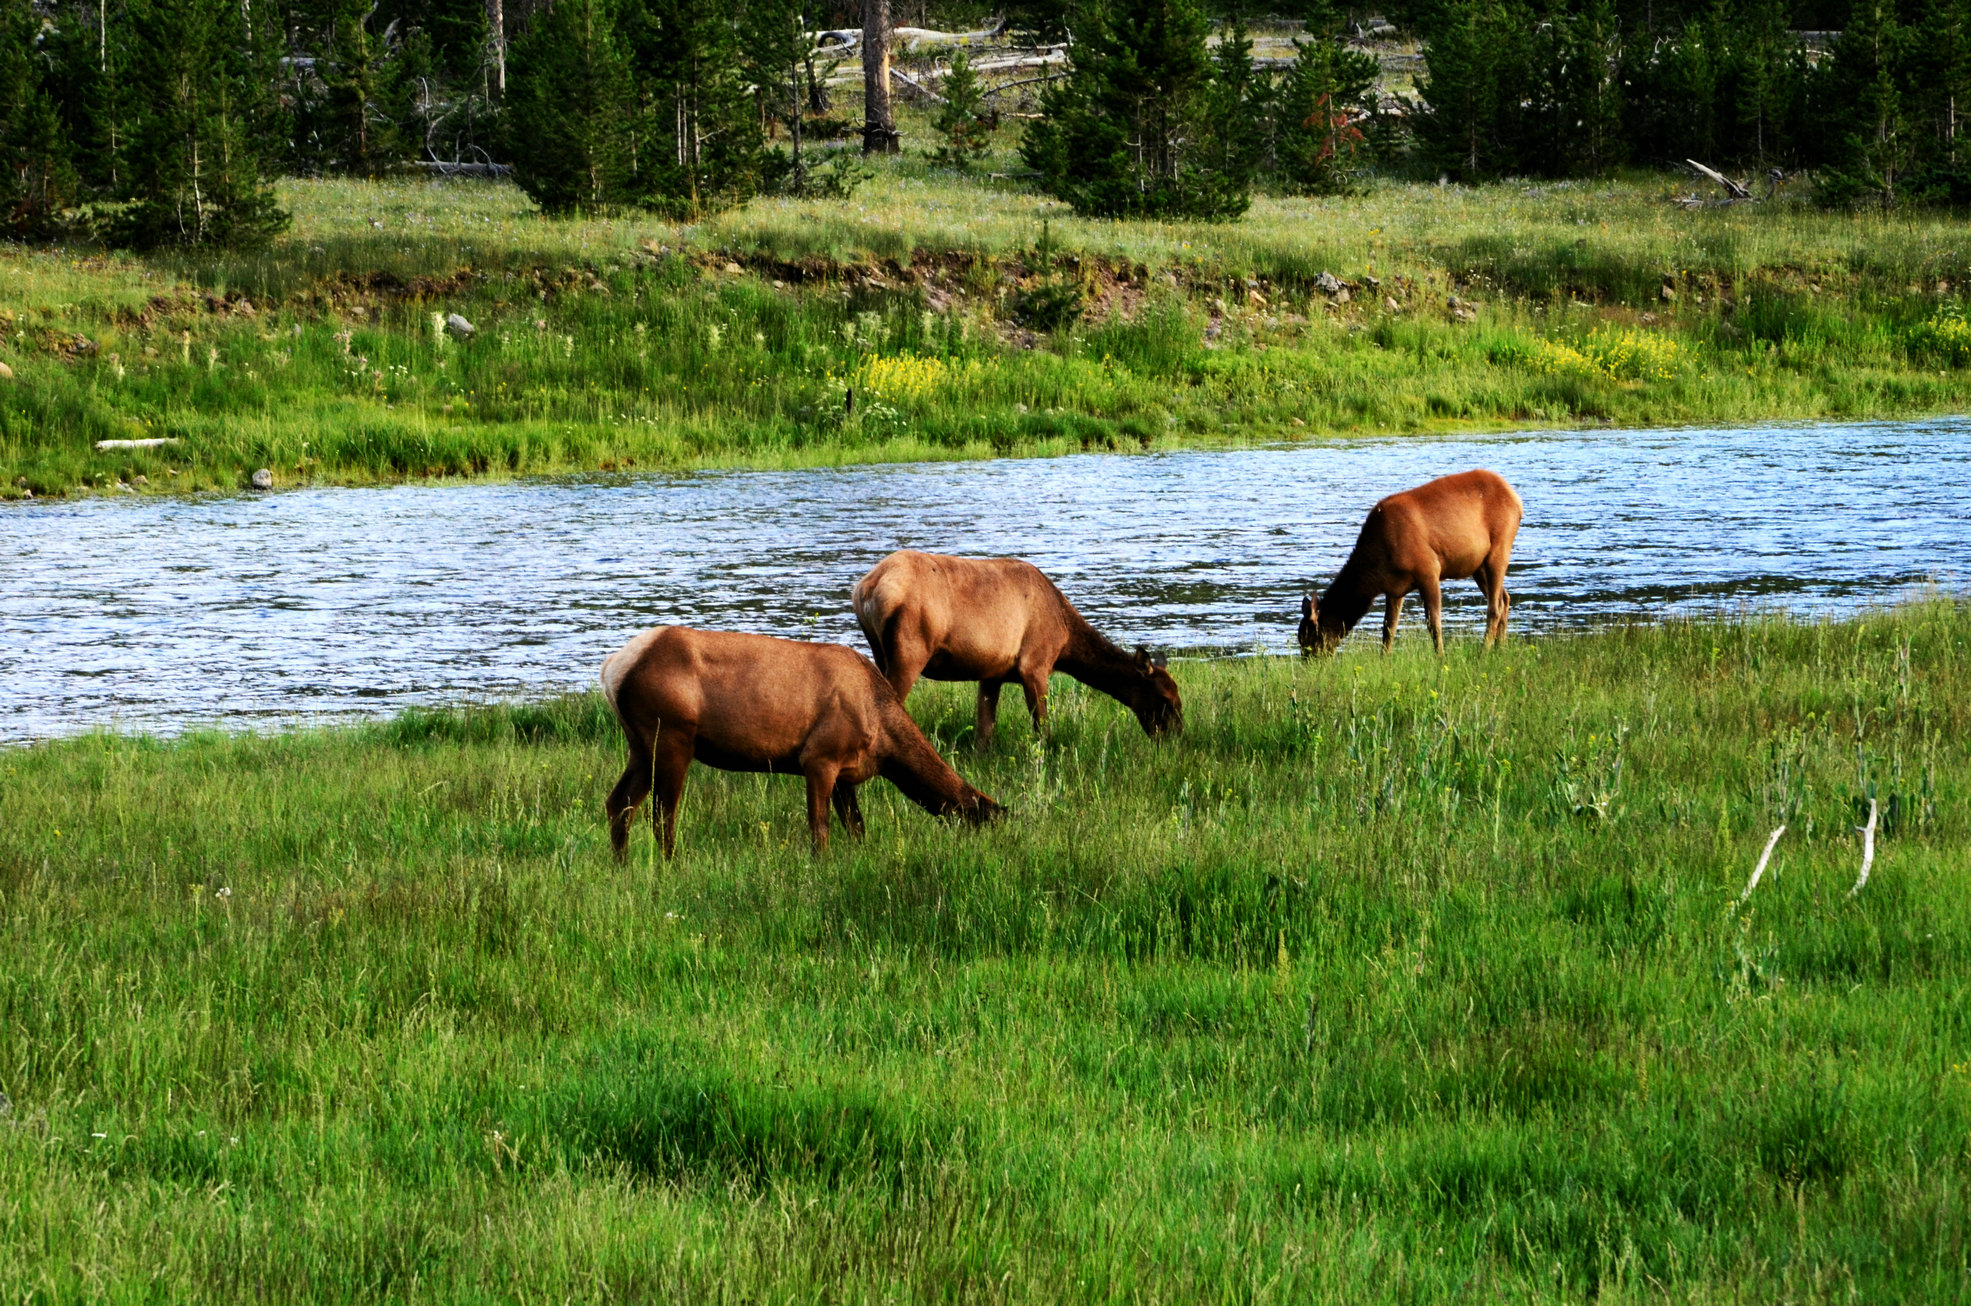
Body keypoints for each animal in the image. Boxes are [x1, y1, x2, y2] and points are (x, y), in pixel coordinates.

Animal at [599, 630, 1001, 862]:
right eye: (981, 822)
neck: (883, 742)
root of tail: (611, 668)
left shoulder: (844, 774)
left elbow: (857, 826)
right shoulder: (820, 756)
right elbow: (819, 827)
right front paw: (819, 865)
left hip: (639, 743)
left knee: (619, 802)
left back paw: (622, 865)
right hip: (671, 734)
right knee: (661, 812)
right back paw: (672, 864)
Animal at [851, 551, 1182, 744]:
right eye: (1165, 699)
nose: (1176, 738)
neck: (1065, 640)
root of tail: (865, 589)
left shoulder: (991, 672)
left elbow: (984, 731)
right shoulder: (1035, 663)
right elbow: (1043, 729)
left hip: (879, 651)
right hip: (910, 649)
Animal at [1292, 466, 1521, 653]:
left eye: (1309, 640)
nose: (1308, 663)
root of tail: (1516, 499)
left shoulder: (1429, 569)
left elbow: (1433, 623)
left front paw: (1440, 657)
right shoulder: (1395, 588)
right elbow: (1388, 628)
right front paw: (1384, 659)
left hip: (1500, 547)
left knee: (1494, 607)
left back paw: (1484, 652)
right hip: (1478, 565)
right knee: (1505, 598)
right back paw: (1500, 648)